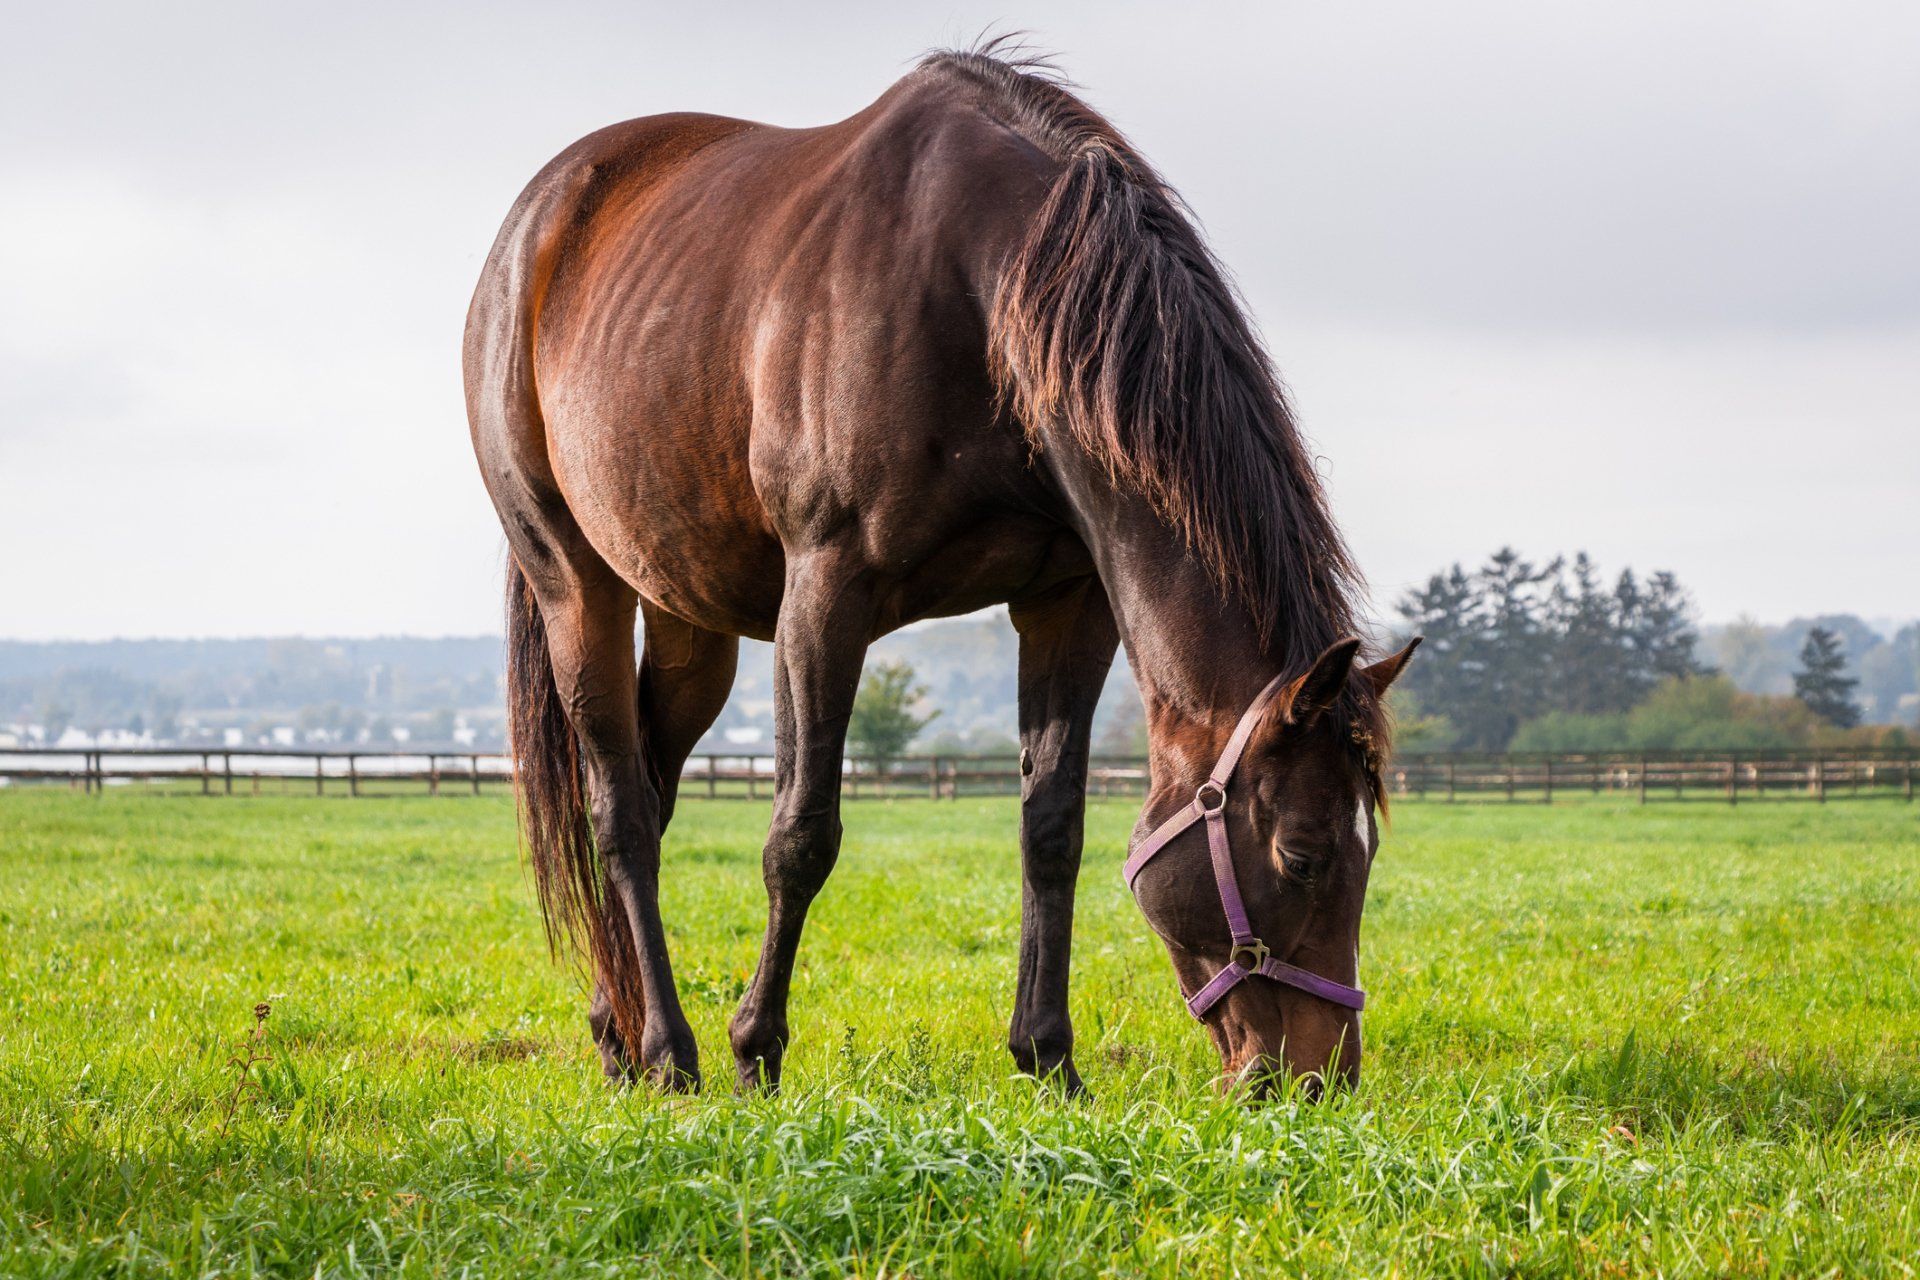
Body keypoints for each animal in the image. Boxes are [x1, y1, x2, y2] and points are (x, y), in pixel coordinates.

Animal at [464, 41, 1417, 1098]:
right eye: (1302, 856)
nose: (1318, 1078)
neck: (985, 291)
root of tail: (540, 217)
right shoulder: (824, 598)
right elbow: (801, 834)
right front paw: (757, 1046)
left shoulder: (1068, 605)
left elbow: (1053, 828)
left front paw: (1048, 1057)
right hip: (575, 585)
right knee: (620, 813)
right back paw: (671, 1051)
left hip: (687, 622)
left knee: (654, 791)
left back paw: (618, 1030)